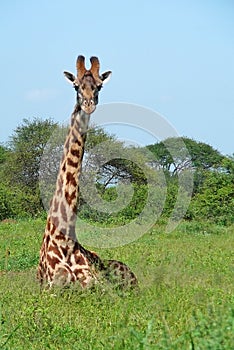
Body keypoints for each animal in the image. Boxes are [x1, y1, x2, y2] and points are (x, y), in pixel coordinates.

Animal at [37, 55, 138, 290]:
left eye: (99, 86)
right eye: (76, 85)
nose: (89, 104)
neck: (65, 241)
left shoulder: (98, 288)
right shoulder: (51, 290)